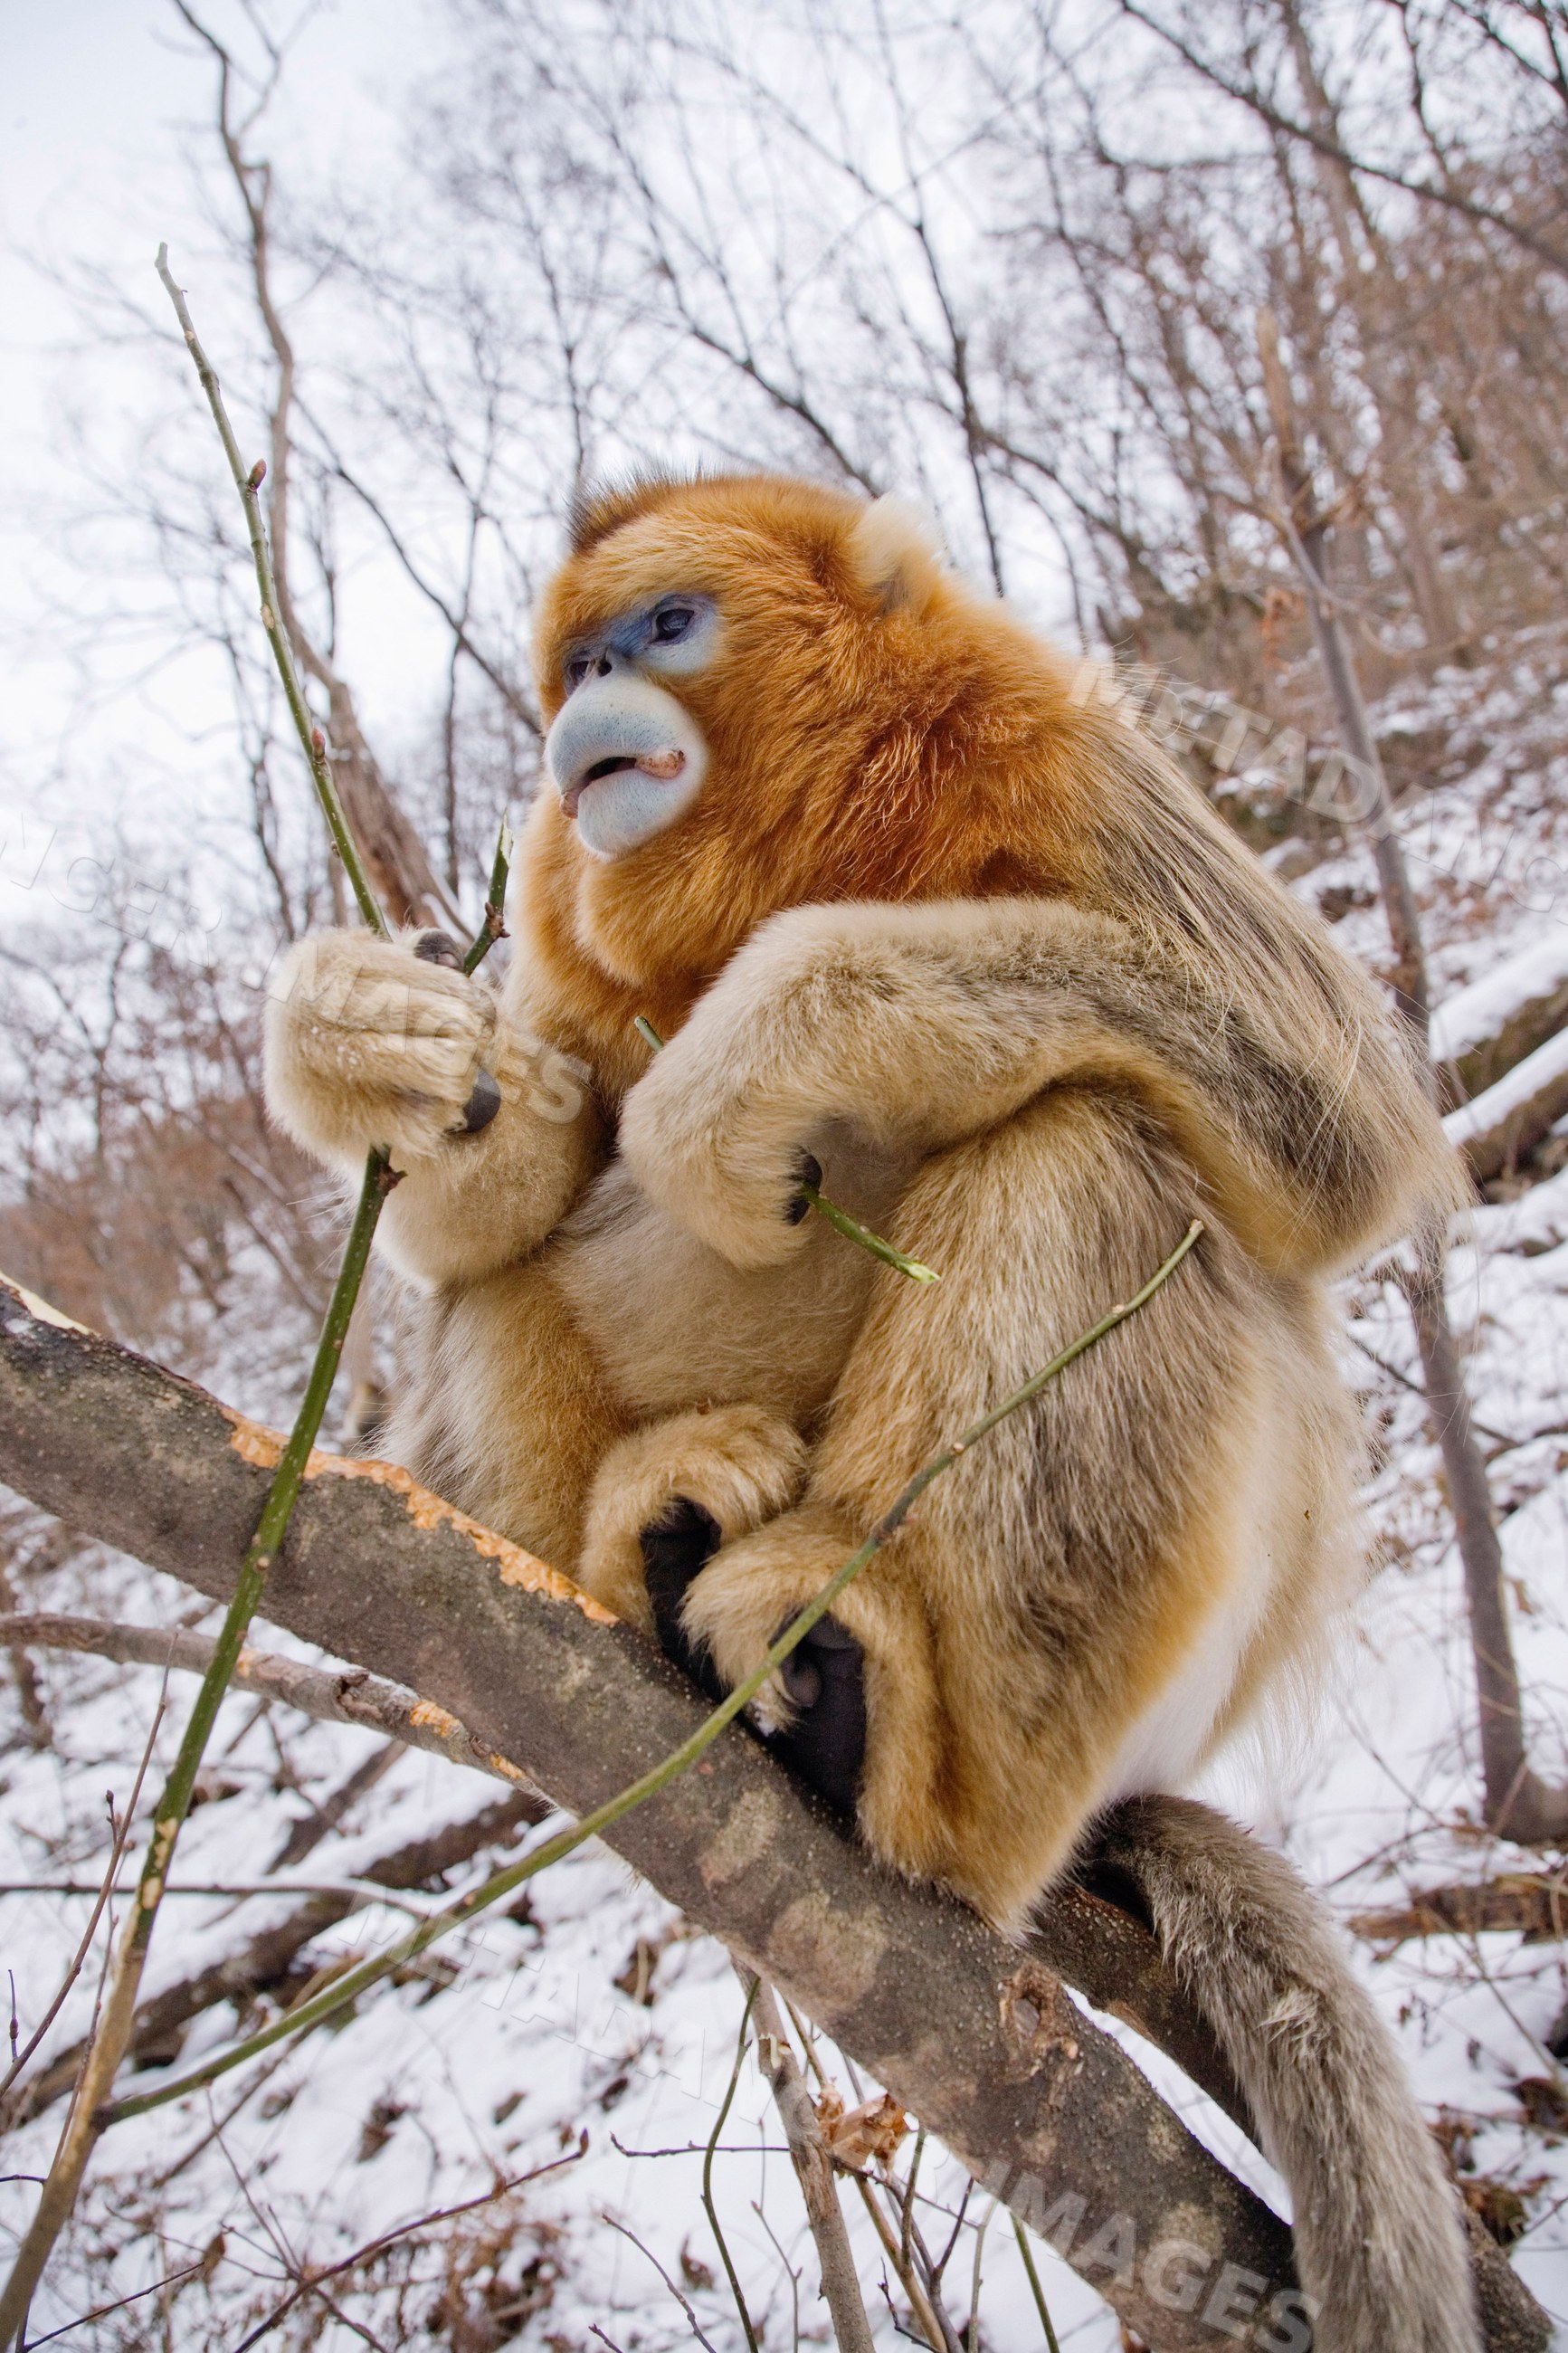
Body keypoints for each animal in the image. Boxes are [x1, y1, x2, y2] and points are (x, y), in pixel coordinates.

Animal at [265, 472, 1479, 2352]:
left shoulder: (1067, 763)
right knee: (500, 1285)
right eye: (575, 662)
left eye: (662, 628)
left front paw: (766, 1042)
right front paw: (369, 1040)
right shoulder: (560, 892)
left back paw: (872, 1709)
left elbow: (1330, 1122)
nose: (583, 708)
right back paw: (637, 1551)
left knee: (1100, 1142)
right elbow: (500, 1199)